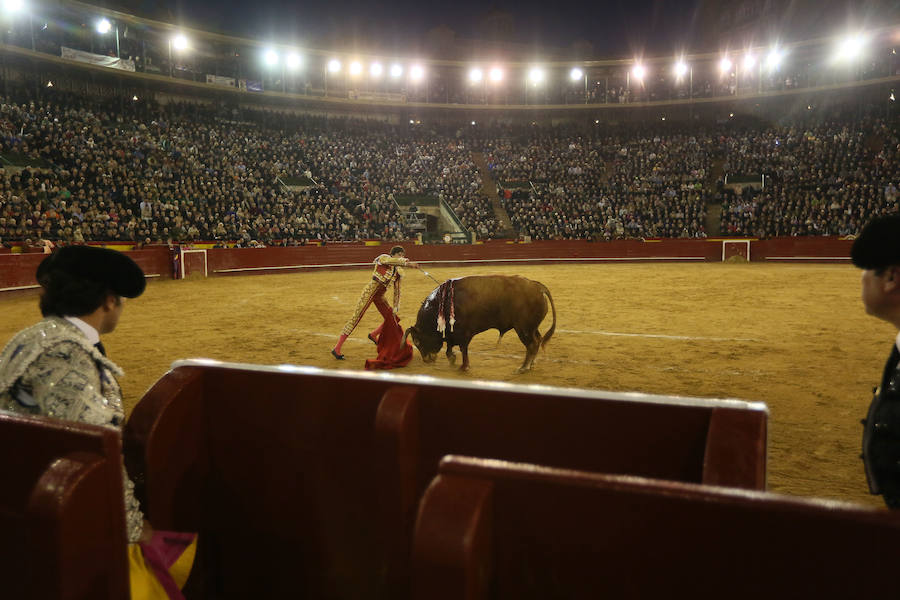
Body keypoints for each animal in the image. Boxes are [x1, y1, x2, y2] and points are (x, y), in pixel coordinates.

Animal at [402, 276, 556, 370]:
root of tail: (537, 286)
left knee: (532, 344)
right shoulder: (452, 334)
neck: (441, 304)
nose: (427, 360)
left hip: (524, 329)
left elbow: (463, 349)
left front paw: (464, 367)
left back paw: (524, 367)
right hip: (532, 327)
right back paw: (531, 364)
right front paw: (452, 359)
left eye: (417, 341)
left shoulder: (463, 334)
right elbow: (450, 347)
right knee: (538, 340)